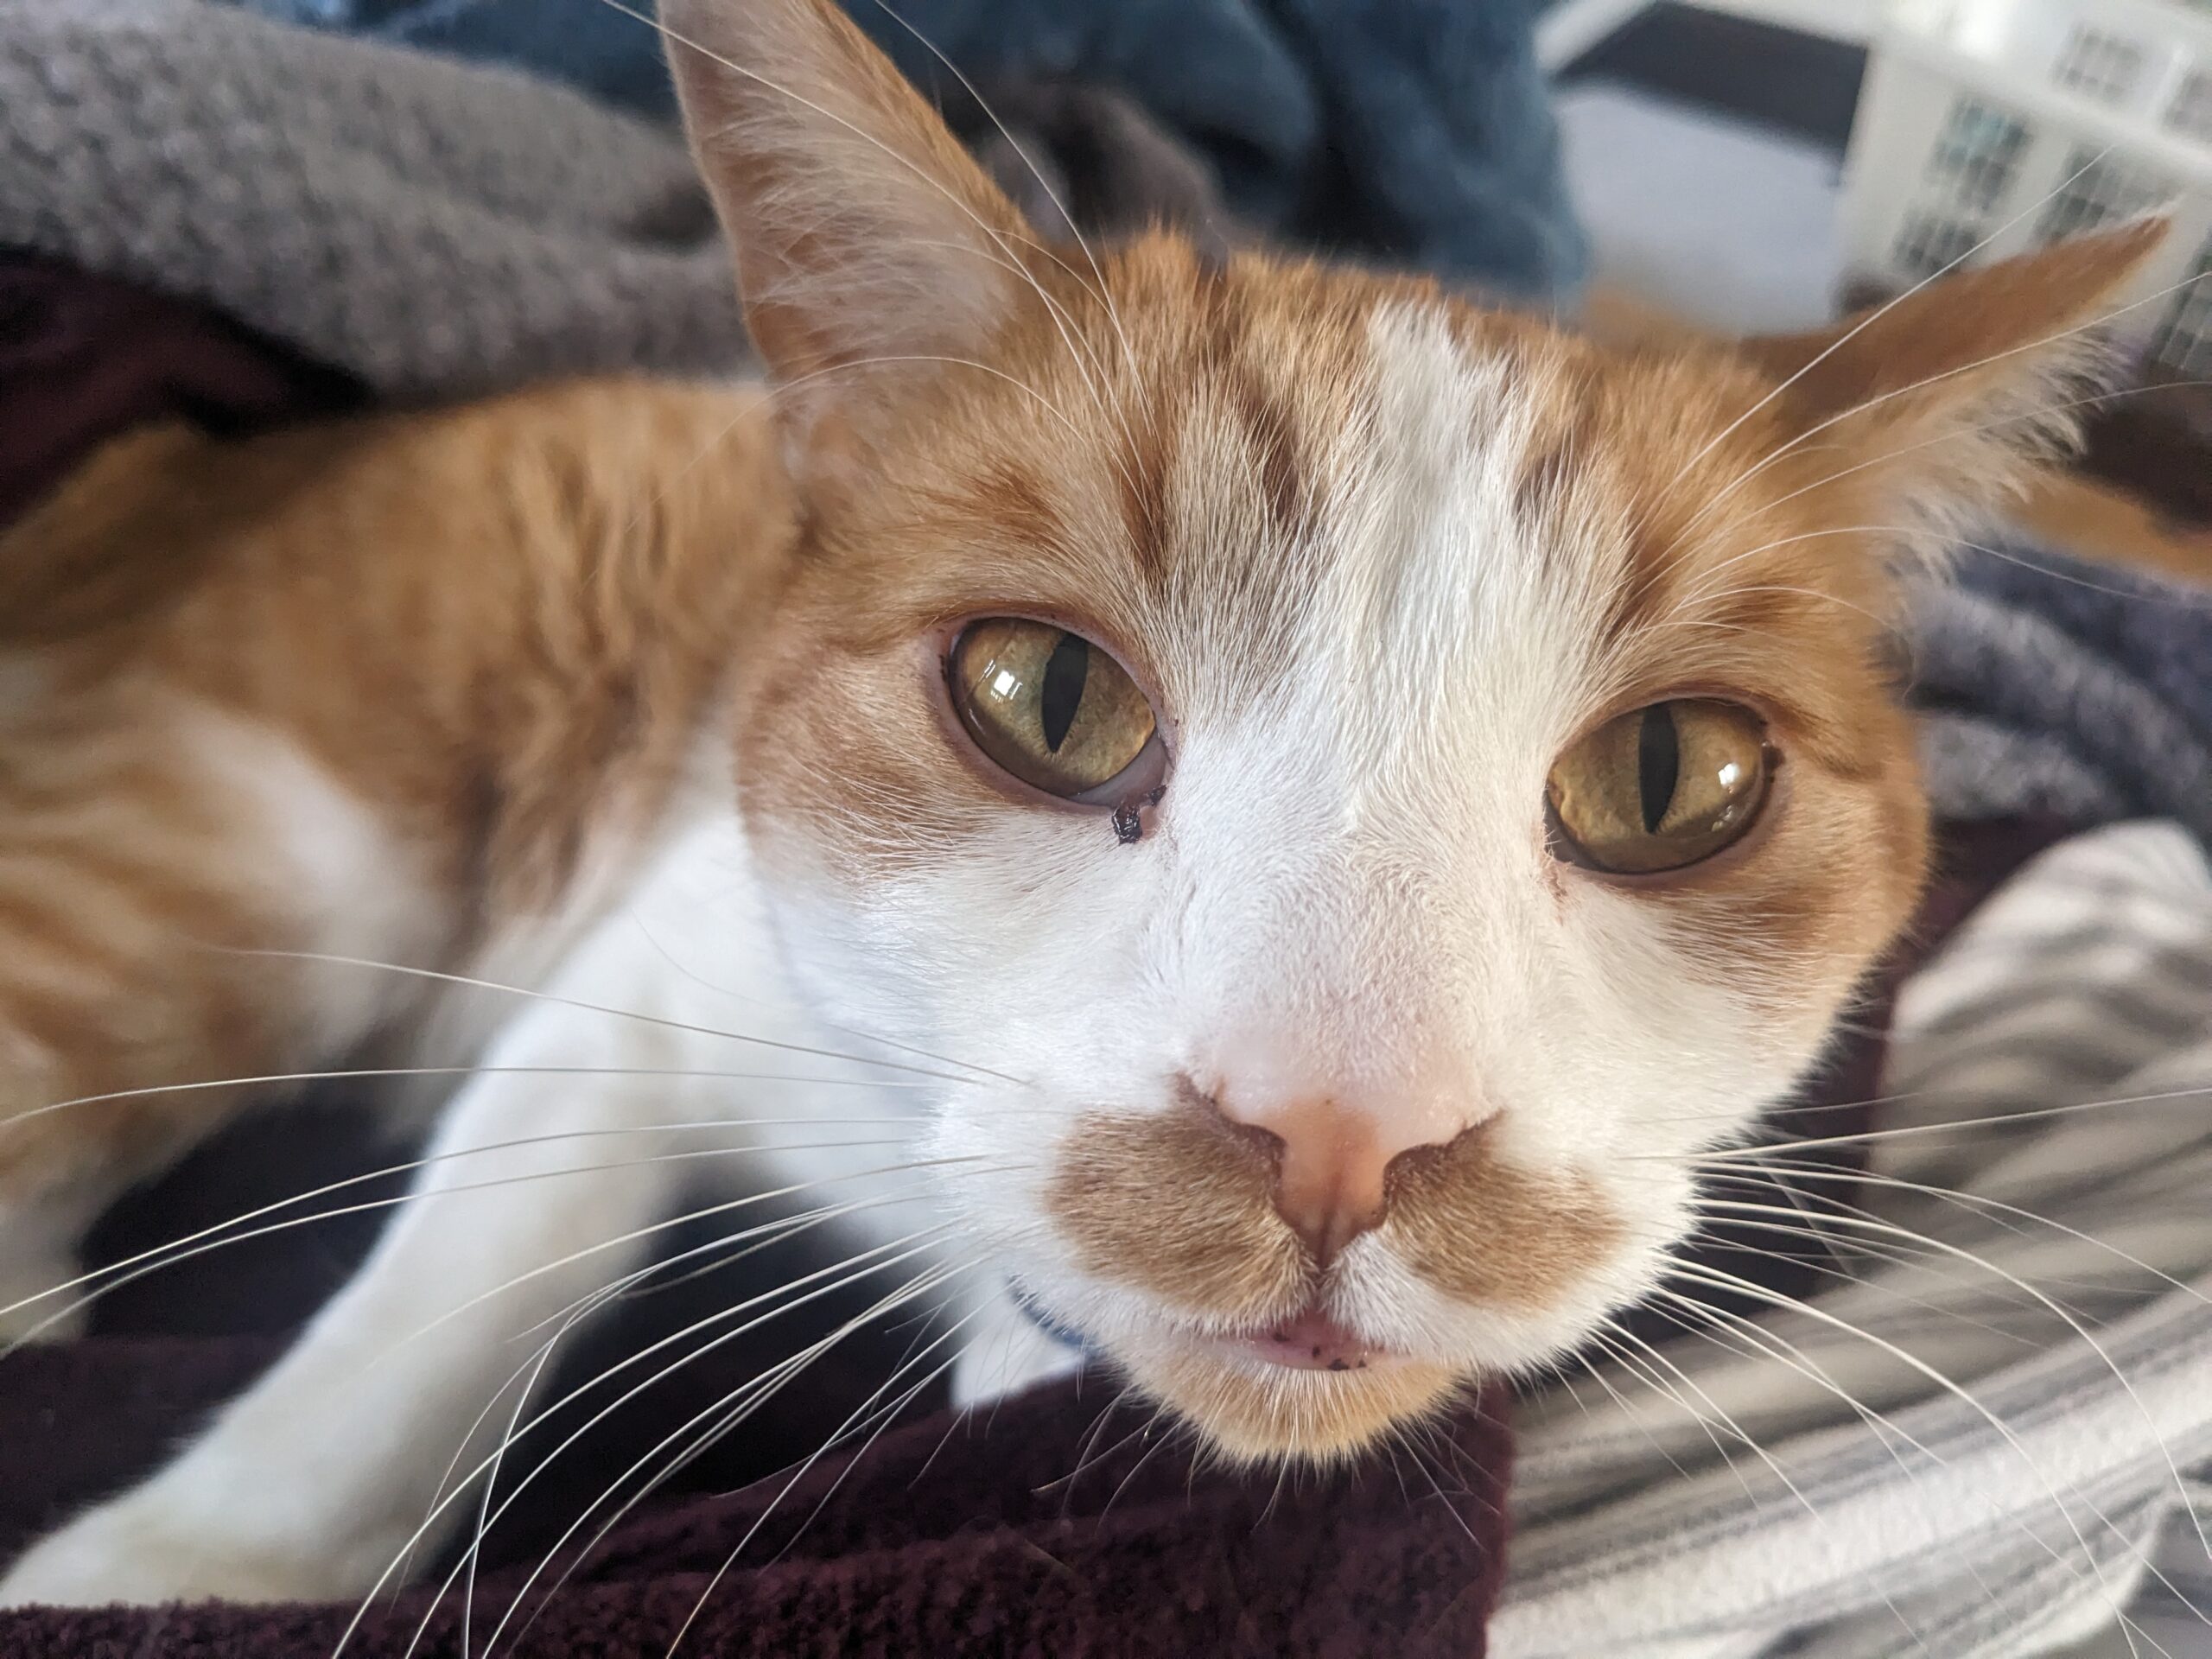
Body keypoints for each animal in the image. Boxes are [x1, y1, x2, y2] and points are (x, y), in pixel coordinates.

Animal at [0, 0, 2158, 1618]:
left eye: (1667, 780)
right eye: (1046, 697)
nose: (1340, 1137)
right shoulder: (656, 969)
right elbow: (424, 1313)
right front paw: (177, 1568)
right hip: (253, 866)